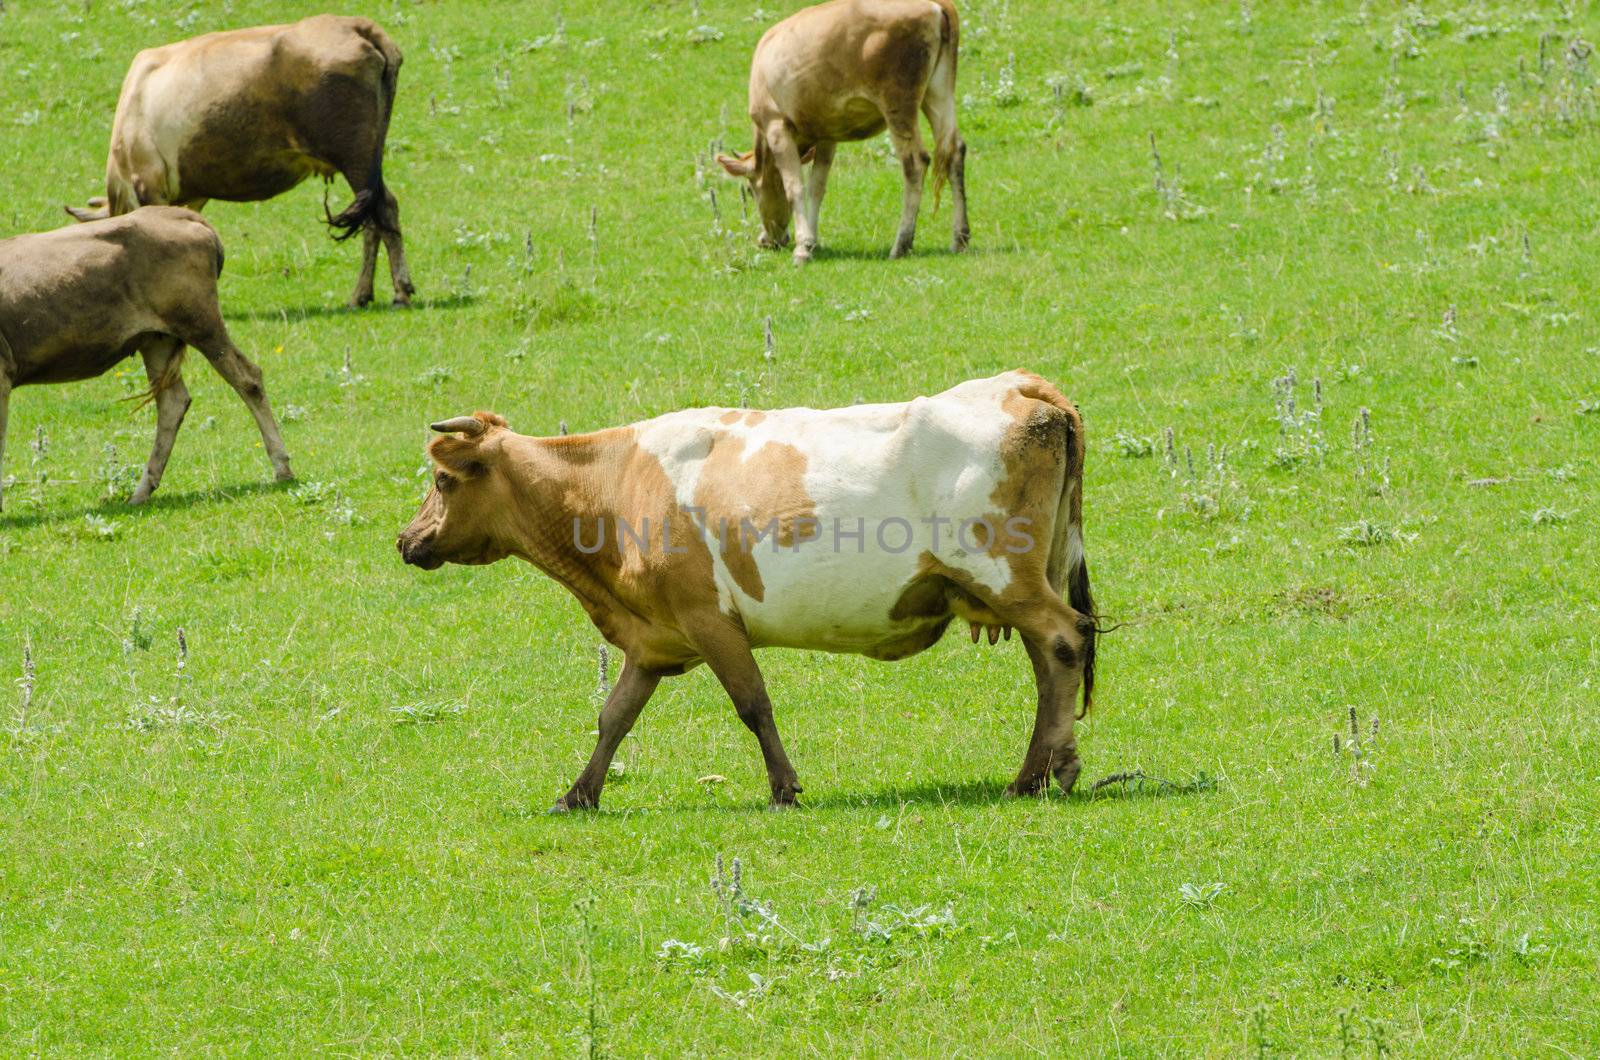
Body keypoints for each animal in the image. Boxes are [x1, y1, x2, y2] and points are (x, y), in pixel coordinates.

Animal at [0, 204, 294, 512]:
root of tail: (177, 213)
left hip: (201, 324)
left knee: (248, 379)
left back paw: (282, 467)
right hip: (157, 340)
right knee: (173, 402)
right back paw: (142, 490)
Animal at [65, 15, 416, 307]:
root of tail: (356, 25)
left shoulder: (149, 183)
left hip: (354, 156)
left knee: (380, 212)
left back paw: (393, 292)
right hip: (369, 158)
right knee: (379, 215)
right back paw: (367, 294)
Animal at [400, 373, 1100, 813]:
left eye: (442, 478)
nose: (407, 539)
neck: (617, 485)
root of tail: (1018, 384)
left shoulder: (709, 619)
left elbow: (753, 703)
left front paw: (784, 788)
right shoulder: (654, 639)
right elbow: (614, 717)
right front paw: (578, 794)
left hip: (1001, 572)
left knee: (1065, 639)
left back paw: (1053, 771)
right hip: (1020, 579)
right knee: (1049, 662)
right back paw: (1033, 774)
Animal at [720, 0, 966, 264]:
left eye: (750, 190)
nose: (766, 241)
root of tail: (935, 5)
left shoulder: (776, 124)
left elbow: (795, 186)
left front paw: (802, 248)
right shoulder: (828, 134)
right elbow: (817, 187)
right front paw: (812, 241)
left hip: (898, 102)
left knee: (915, 163)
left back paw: (901, 245)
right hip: (938, 93)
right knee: (955, 151)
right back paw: (960, 239)